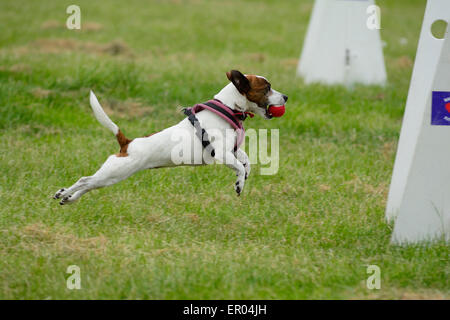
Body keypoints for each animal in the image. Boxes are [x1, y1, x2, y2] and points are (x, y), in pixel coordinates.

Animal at [53, 70, 288, 205]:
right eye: (267, 88)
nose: (286, 97)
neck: (229, 107)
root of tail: (127, 143)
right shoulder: (222, 154)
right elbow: (238, 166)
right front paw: (239, 184)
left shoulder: (233, 150)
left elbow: (246, 161)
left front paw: (245, 175)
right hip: (114, 173)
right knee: (85, 180)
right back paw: (62, 193)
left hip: (111, 177)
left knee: (89, 185)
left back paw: (69, 199)